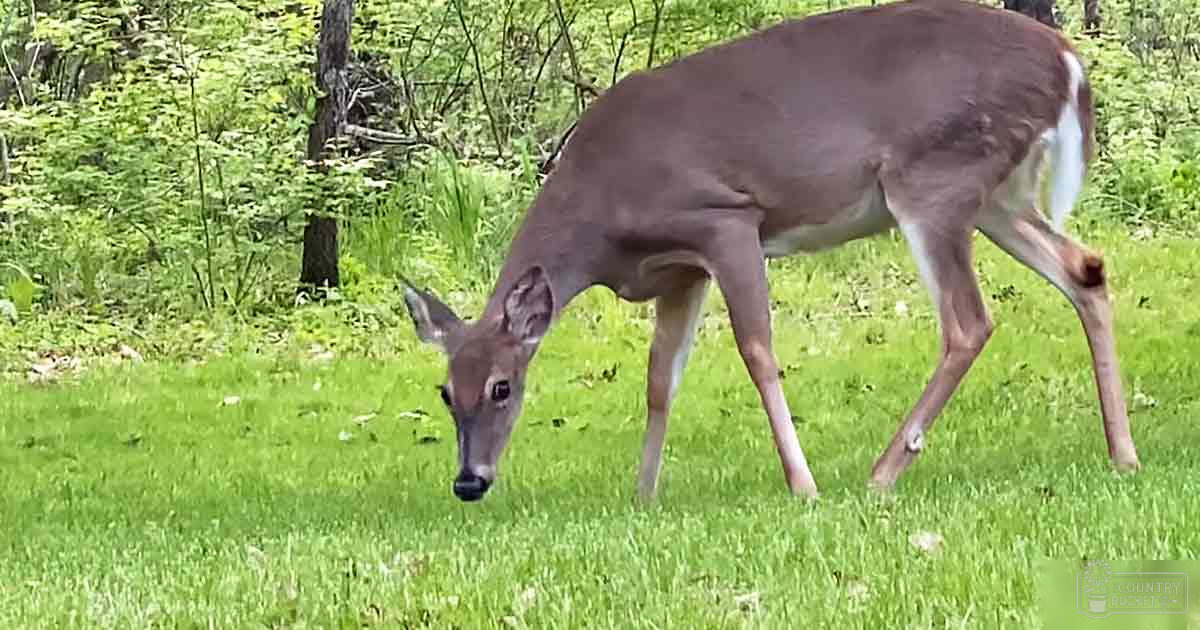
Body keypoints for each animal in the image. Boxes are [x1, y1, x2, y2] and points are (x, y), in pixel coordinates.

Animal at [402, 0, 1141, 503]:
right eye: (445, 391)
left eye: (503, 387)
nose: (469, 481)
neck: (600, 213)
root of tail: (1067, 61)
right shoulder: (679, 270)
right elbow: (659, 379)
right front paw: (643, 495)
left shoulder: (725, 219)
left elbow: (757, 351)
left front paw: (802, 484)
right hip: (997, 196)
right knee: (1085, 268)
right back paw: (1123, 454)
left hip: (934, 178)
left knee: (968, 322)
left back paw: (882, 472)